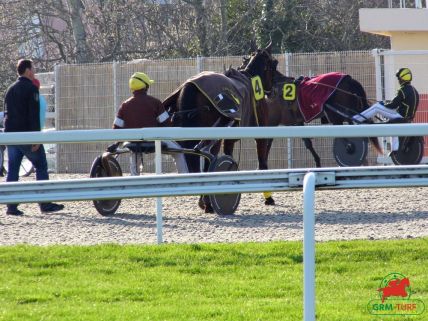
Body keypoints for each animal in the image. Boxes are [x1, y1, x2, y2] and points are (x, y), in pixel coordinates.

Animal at [164, 43, 278, 212]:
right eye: (274, 63)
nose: (273, 90)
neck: (249, 79)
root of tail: (191, 86)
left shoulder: (229, 138)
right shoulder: (260, 133)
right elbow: (262, 163)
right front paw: (269, 197)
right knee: (208, 156)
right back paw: (208, 202)